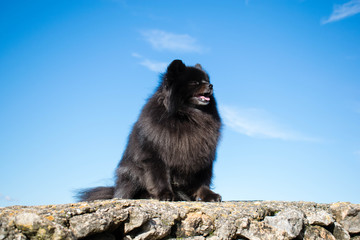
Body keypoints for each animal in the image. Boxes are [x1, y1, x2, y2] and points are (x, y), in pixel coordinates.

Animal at [79, 59, 222, 202]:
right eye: (194, 83)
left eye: (206, 80)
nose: (211, 85)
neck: (186, 115)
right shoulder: (155, 155)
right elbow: (160, 177)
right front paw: (165, 194)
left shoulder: (201, 156)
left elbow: (202, 181)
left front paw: (209, 195)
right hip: (131, 172)